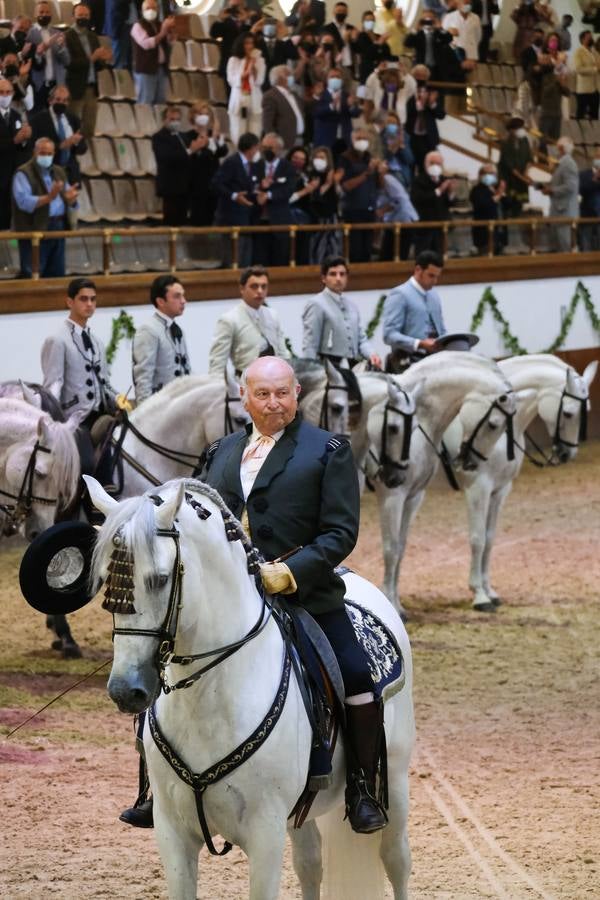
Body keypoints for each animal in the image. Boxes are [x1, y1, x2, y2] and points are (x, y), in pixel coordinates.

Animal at [86, 474, 414, 896]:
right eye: (107, 583)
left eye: (159, 579)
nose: (125, 690)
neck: (208, 699)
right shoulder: (172, 833)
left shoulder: (265, 834)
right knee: (310, 864)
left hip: (397, 783)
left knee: (396, 861)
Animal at [370, 356, 520, 616]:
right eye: (493, 424)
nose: (469, 462)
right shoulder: (393, 495)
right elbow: (391, 548)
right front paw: (481, 596)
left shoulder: (414, 496)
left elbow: (400, 548)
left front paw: (395, 604)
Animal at [442, 356, 596, 608]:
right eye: (568, 413)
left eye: (587, 412)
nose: (567, 454)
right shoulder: (478, 489)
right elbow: (477, 539)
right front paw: (479, 595)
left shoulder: (500, 489)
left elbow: (489, 538)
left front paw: (489, 591)